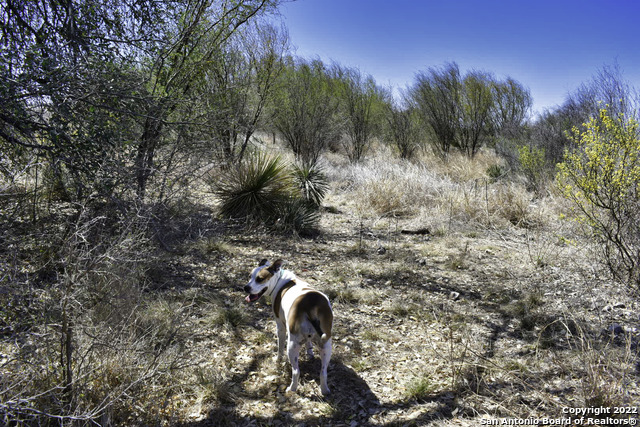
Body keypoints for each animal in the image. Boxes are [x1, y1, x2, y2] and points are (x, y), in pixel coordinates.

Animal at [244, 260, 336, 396]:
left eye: (259, 279)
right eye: (250, 276)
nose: (246, 287)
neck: (280, 279)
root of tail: (311, 304)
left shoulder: (280, 327)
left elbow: (279, 347)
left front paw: (278, 360)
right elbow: (308, 343)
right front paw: (310, 353)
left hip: (292, 346)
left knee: (296, 371)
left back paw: (291, 388)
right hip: (326, 346)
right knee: (323, 372)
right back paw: (325, 390)